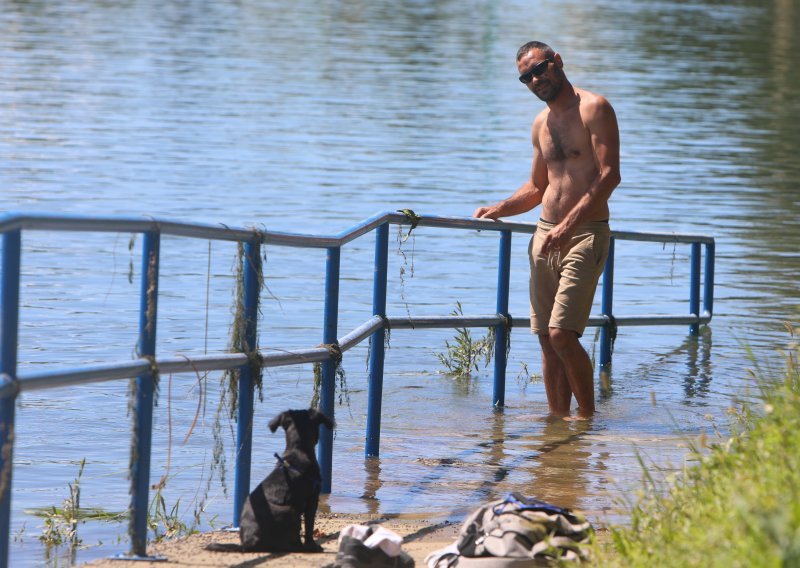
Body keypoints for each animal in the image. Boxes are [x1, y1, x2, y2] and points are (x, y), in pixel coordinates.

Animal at [208, 406, 332, 552]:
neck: (297, 450)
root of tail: (249, 542)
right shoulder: (312, 500)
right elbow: (309, 526)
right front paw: (312, 545)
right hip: (291, 511)